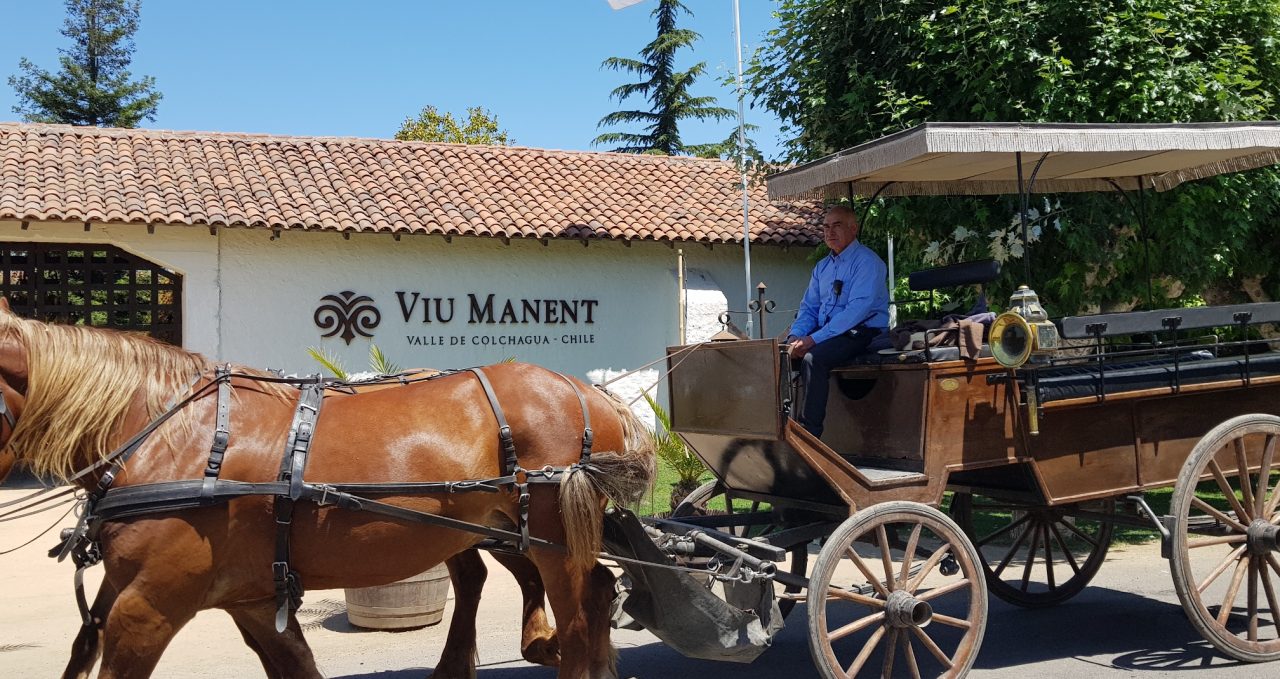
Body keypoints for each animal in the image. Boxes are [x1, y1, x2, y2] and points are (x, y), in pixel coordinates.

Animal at [0, 302, 655, 676]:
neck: (168, 436)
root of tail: (589, 393)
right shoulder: (247, 598)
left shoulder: (151, 604)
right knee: (585, 592)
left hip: (548, 535)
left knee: (578, 616)